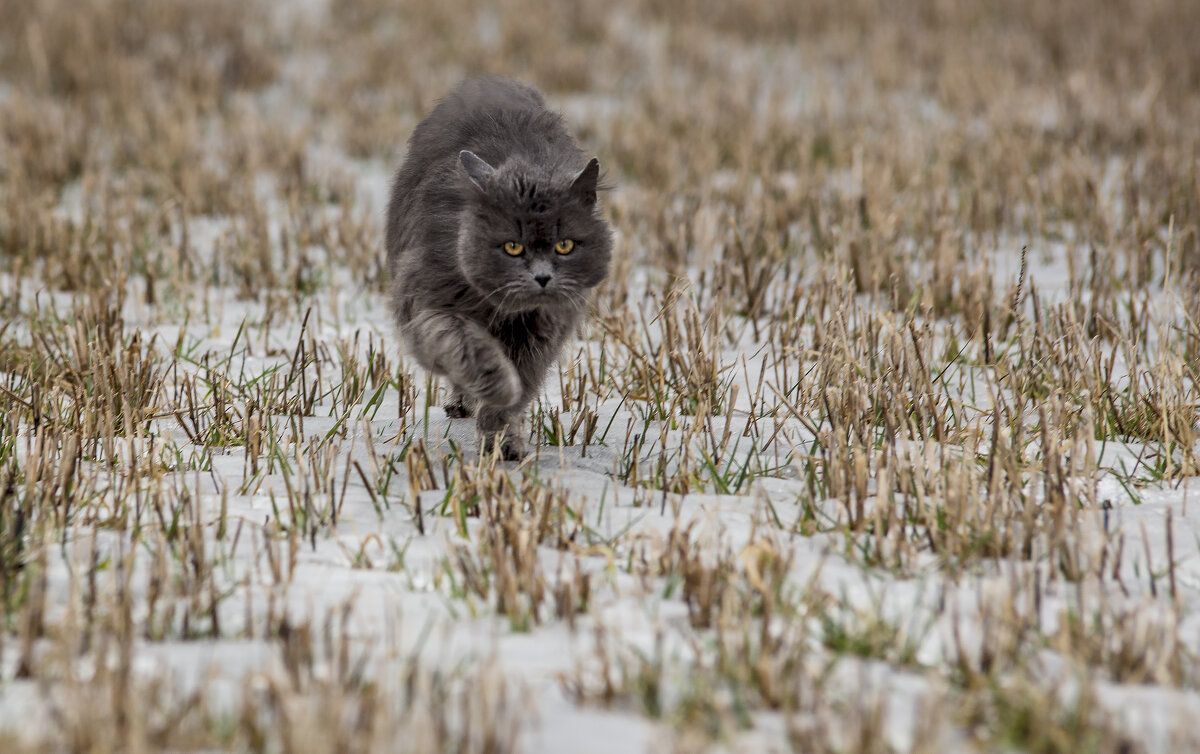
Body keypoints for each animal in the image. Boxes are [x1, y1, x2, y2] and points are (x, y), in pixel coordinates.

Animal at [386, 79, 609, 463]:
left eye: (564, 245)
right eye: (512, 247)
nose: (542, 278)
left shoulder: (540, 333)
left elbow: (518, 387)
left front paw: (502, 441)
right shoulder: (429, 304)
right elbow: (465, 346)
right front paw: (494, 384)